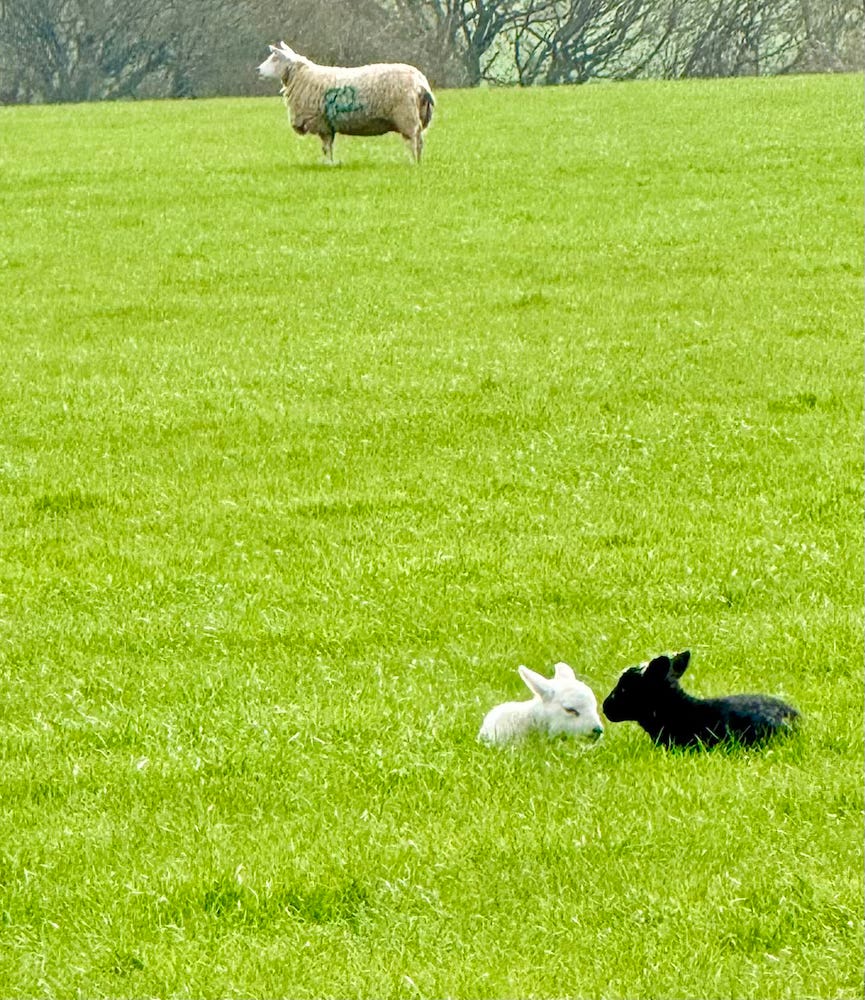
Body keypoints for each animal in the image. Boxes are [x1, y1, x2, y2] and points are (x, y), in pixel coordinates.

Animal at [257, 42, 434, 164]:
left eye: (274, 58)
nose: (258, 70)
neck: (303, 76)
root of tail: (420, 82)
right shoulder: (328, 125)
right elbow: (328, 147)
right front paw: (331, 163)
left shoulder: (322, 123)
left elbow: (326, 148)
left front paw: (328, 163)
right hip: (417, 115)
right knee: (420, 142)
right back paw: (418, 163)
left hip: (406, 116)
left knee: (413, 142)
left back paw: (412, 162)